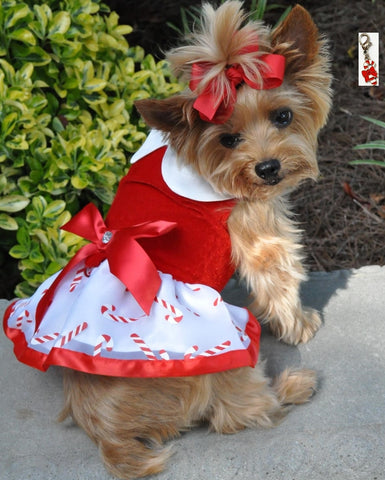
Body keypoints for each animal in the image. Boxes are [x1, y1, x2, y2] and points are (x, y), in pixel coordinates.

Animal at [56, 1, 330, 478]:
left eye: (283, 116)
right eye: (227, 139)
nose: (268, 168)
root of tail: (106, 432)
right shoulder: (260, 229)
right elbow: (280, 279)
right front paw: (299, 326)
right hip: (218, 358)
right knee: (235, 414)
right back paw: (293, 385)